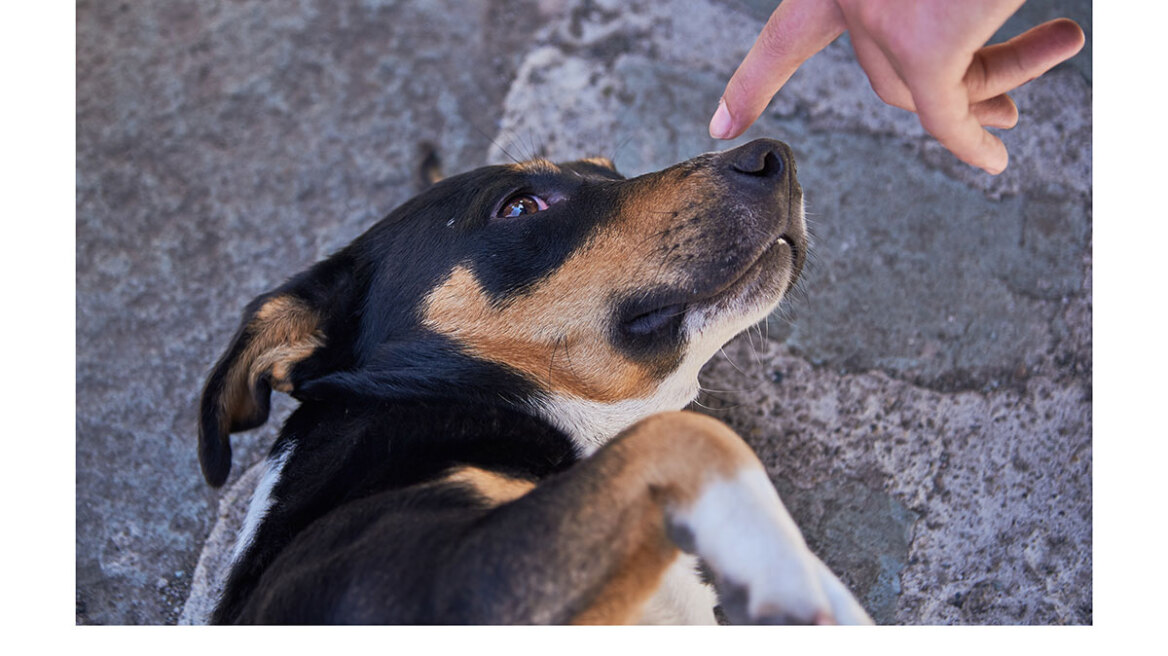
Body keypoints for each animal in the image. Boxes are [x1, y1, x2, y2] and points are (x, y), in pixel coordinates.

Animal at [196, 138, 873, 620]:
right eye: (519, 205)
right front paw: (794, 584)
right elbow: (693, 437)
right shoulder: (458, 587)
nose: (775, 158)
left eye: (610, 169)